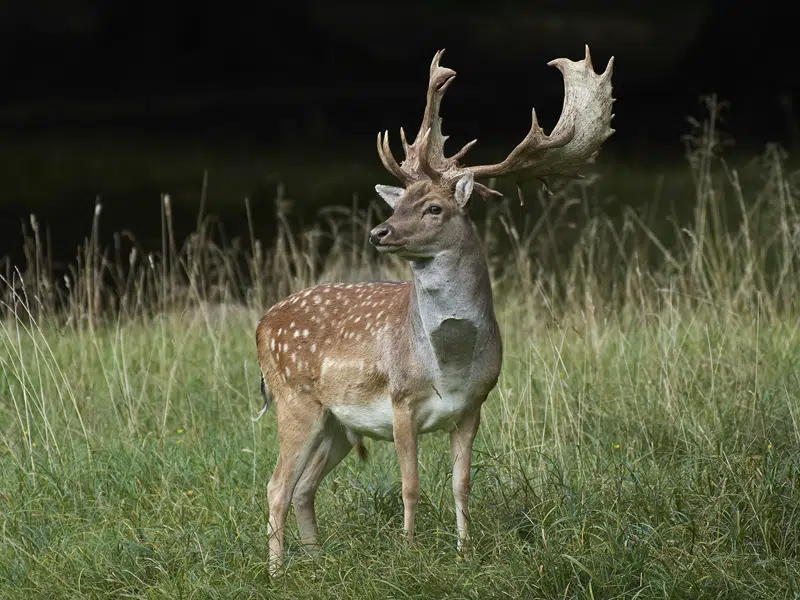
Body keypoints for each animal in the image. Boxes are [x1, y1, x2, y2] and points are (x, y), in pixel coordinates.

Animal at [255, 45, 614, 573]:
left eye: (434, 209)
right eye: (399, 201)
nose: (379, 232)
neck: (449, 364)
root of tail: (262, 323)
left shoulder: (474, 406)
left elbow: (462, 485)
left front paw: (465, 552)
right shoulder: (401, 399)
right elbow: (410, 485)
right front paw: (409, 551)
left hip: (336, 422)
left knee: (302, 487)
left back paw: (316, 562)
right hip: (293, 399)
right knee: (276, 485)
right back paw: (278, 571)